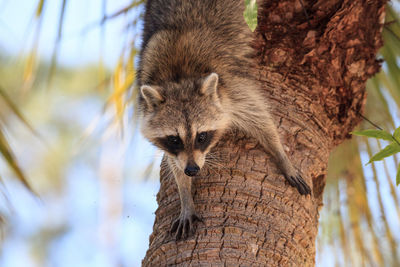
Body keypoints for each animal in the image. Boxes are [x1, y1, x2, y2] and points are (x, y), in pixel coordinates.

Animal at [138, 0, 312, 240]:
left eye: (201, 136)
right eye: (174, 139)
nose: (192, 170)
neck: (178, 78)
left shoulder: (230, 87)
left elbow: (260, 118)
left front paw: (281, 156)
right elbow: (174, 162)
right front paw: (185, 196)